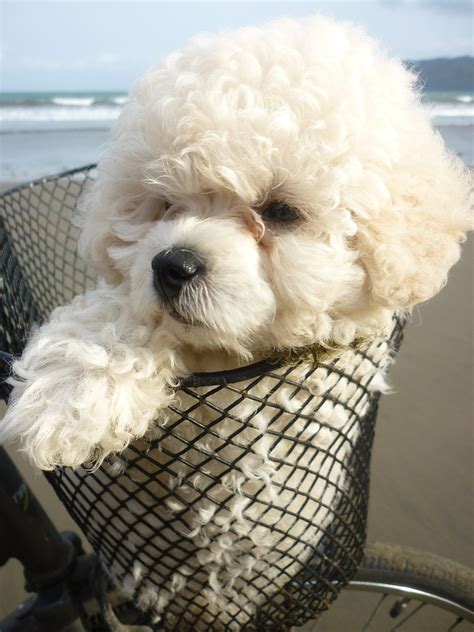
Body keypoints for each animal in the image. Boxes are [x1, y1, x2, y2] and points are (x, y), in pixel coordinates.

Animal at [0, 14, 470, 632]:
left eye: (281, 212)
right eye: (164, 204)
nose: (171, 265)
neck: (235, 357)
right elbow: (123, 313)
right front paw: (70, 396)